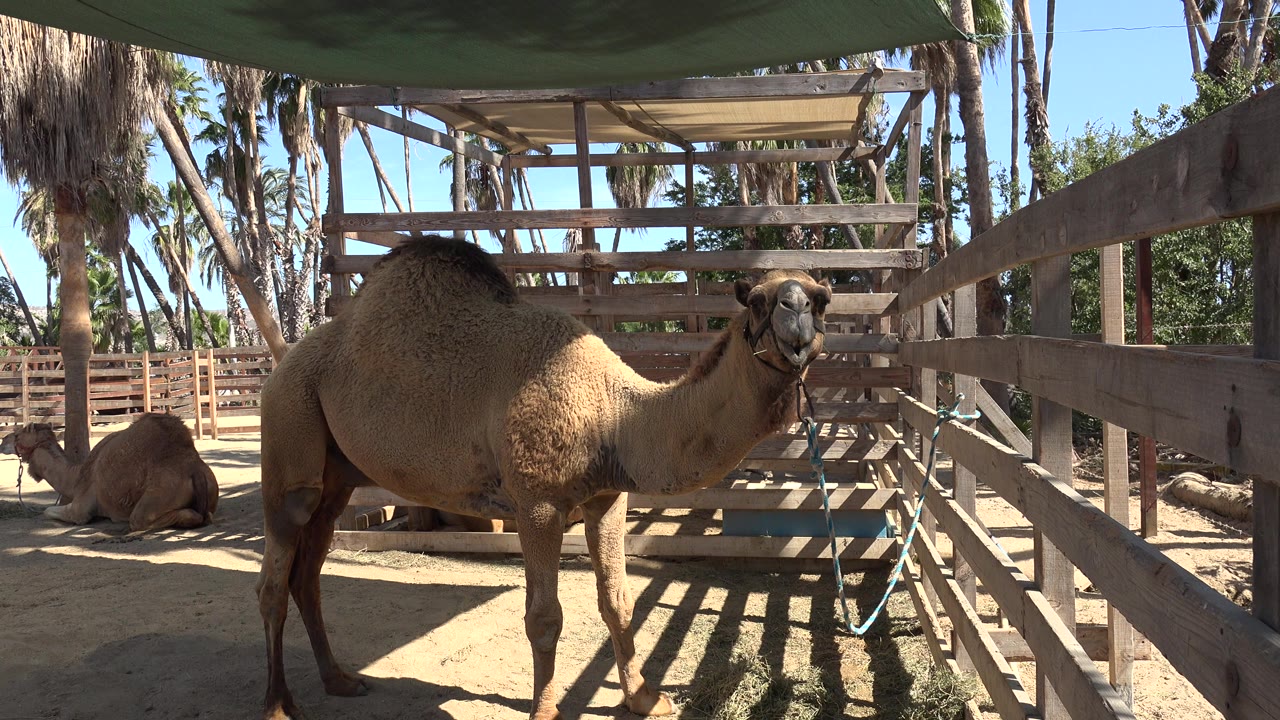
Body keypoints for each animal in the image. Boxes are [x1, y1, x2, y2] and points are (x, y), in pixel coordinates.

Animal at [0, 413, 218, 532]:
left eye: (18, 434)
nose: (3, 441)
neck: (77, 477)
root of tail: (194, 470)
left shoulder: (81, 509)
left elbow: (47, 511)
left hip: (159, 494)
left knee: (140, 519)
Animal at [256, 236, 830, 720]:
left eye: (823, 298)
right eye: (756, 300)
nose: (797, 315)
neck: (611, 415)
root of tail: (280, 365)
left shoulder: (607, 496)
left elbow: (619, 603)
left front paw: (646, 699)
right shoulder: (535, 500)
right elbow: (544, 616)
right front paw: (547, 709)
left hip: (337, 473)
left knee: (309, 572)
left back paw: (340, 681)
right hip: (289, 426)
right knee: (275, 579)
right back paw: (280, 705)